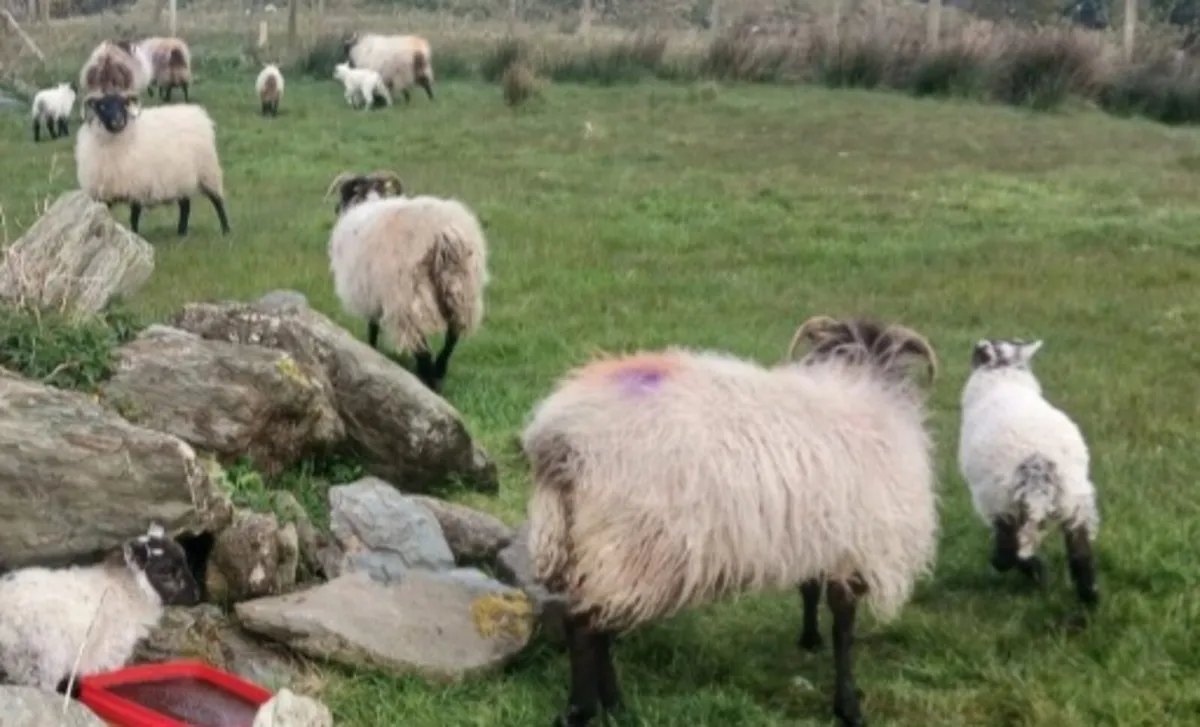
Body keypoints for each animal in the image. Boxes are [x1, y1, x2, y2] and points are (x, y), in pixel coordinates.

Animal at [76, 92, 231, 237]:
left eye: (124, 104)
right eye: (102, 106)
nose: (119, 122)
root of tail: (196, 112)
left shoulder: (137, 186)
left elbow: (134, 217)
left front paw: (135, 235)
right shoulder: (103, 194)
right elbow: (105, 216)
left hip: (207, 171)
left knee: (217, 201)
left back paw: (226, 230)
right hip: (182, 177)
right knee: (185, 205)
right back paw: (181, 233)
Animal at [323, 170, 489, 393]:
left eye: (345, 192)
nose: (335, 209)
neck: (368, 201)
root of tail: (444, 233)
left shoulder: (371, 293)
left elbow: (373, 327)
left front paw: (371, 351)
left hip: (408, 294)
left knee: (421, 345)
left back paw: (428, 379)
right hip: (462, 287)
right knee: (452, 336)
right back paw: (439, 371)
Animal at [522, 315, 941, 727]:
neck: (866, 386)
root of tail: (561, 440)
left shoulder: (816, 532)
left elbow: (809, 589)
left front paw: (809, 639)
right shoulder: (856, 546)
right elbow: (844, 627)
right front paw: (848, 707)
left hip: (584, 543)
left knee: (595, 626)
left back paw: (614, 706)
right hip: (628, 545)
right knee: (585, 626)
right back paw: (582, 710)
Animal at [958, 338, 1100, 610]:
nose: (978, 344)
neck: (1004, 377)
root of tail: (1039, 464)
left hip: (1002, 498)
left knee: (1009, 549)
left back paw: (1033, 571)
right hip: (1075, 500)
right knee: (1080, 552)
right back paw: (1089, 601)